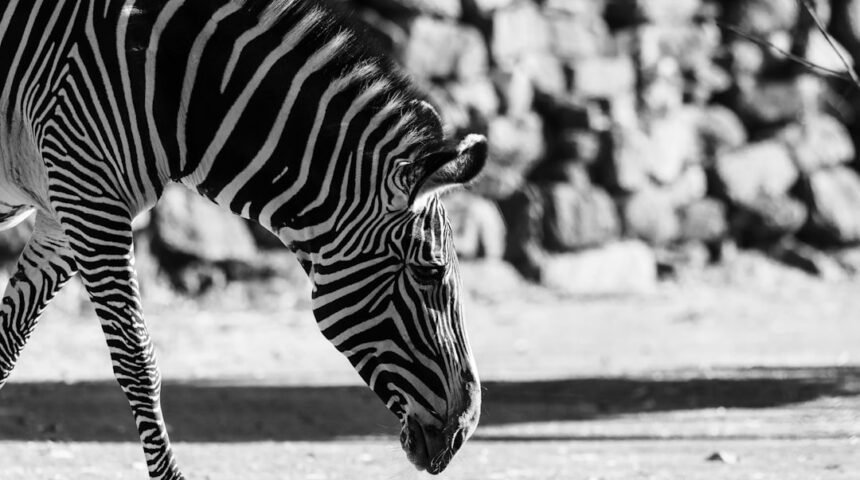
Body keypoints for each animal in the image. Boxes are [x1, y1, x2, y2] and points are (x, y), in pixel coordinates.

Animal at [0, 0, 487, 478]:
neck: (171, 84)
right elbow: (138, 362)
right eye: (430, 271)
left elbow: (8, 344)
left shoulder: (62, 217)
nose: (464, 431)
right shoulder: (89, 198)